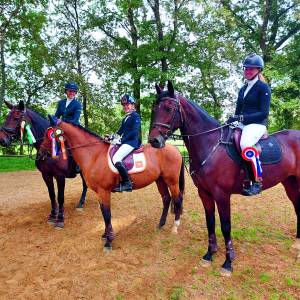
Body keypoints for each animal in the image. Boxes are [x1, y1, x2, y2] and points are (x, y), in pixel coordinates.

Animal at [45, 118, 185, 252]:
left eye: (51, 135)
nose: (42, 154)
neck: (94, 155)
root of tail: (175, 149)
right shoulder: (99, 192)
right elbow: (103, 213)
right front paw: (105, 235)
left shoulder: (103, 191)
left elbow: (107, 214)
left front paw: (109, 241)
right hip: (160, 180)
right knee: (166, 199)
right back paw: (160, 225)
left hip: (172, 181)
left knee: (177, 199)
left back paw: (175, 227)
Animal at [149, 80, 300, 276]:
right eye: (154, 107)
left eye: (168, 108)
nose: (154, 141)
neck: (210, 144)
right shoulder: (204, 193)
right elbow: (210, 222)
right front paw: (209, 254)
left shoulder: (222, 195)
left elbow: (226, 226)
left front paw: (228, 263)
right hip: (290, 183)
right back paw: (297, 245)